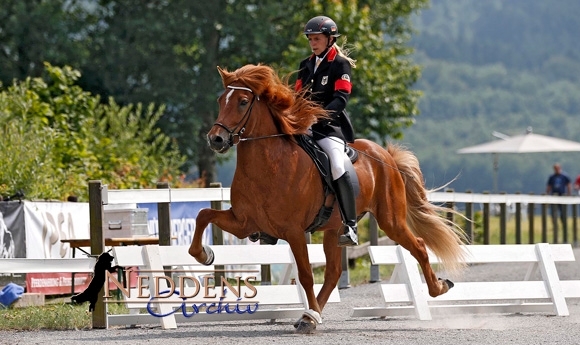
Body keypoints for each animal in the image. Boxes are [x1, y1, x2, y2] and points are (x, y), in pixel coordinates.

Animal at [188, 63, 468, 332]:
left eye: (243, 102)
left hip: (391, 220)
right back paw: (311, 315)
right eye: (221, 100)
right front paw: (204, 255)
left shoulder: (293, 231)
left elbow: (306, 275)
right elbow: (203, 215)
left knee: (418, 246)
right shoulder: (245, 223)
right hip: (335, 230)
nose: (216, 139)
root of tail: (386, 156)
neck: (270, 165)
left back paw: (438, 287)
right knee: (334, 272)